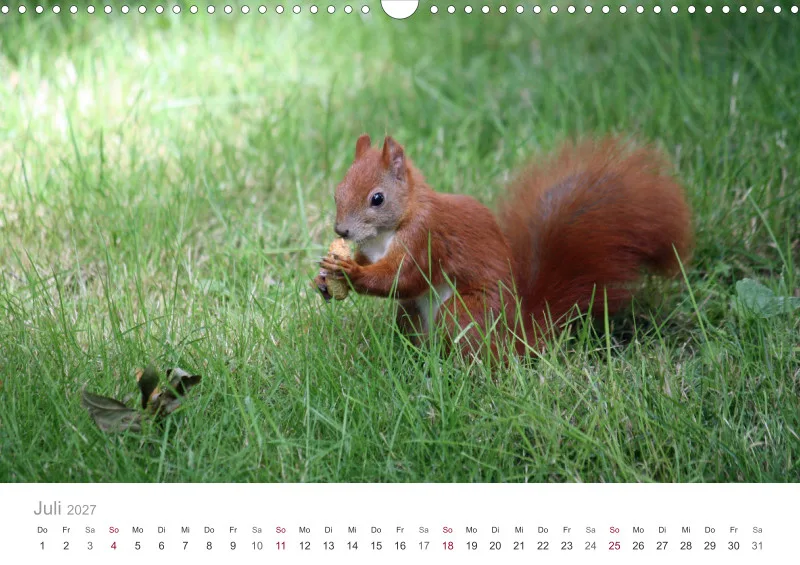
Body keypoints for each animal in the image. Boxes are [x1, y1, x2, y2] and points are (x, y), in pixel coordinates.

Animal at [315, 134, 693, 358]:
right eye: (338, 190)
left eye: (377, 198)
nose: (341, 229)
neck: (389, 230)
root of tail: (517, 337)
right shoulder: (374, 249)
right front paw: (324, 278)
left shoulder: (425, 238)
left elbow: (402, 278)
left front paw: (349, 273)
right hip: (411, 315)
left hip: (466, 313)